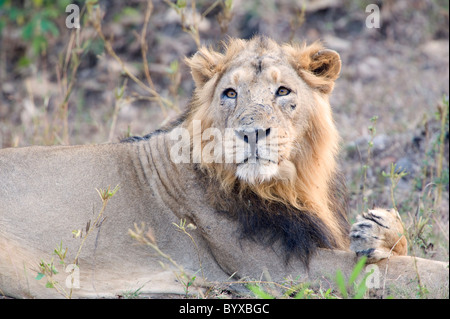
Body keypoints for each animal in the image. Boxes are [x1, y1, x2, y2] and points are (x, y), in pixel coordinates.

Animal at [1, 36, 448, 298]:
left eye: (282, 90)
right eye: (230, 93)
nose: (251, 133)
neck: (290, 184)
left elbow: (389, 251)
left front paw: (378, 228)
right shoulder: (275, 270)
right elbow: (402, 271)